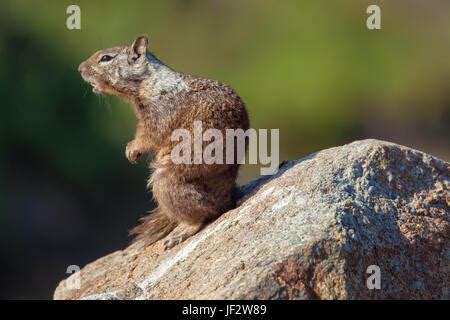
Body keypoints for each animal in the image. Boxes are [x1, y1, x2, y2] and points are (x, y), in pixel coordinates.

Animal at [80, 35, 250, 250]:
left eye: (105, 58)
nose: (79, 68)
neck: (150, 83)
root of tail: (228, 195)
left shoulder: (160, 112)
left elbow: (151, 135)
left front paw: (132, 149)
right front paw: (131, 151)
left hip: (169, 178)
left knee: (207, 212)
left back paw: (180, 233)